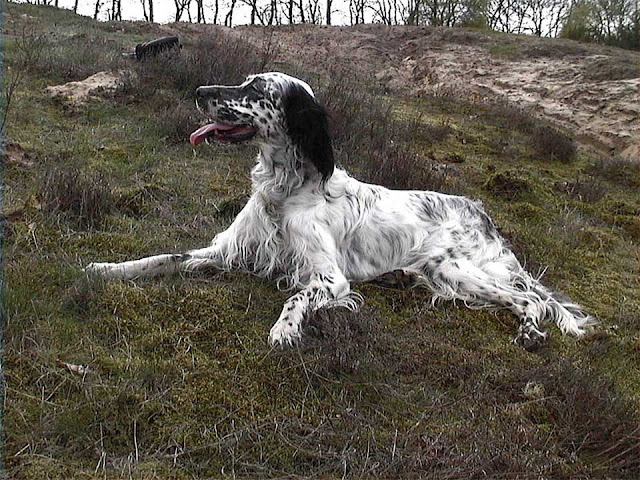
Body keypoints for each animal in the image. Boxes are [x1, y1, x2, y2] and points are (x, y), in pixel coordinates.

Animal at [86, 72, 596, 348]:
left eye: (256, 89)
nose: (198, 89)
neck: (285, 189)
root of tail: (481, 212)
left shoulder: (329, 278)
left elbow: (296, 297)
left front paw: (284, 331)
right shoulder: (230, 249)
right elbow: (162, 257)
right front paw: (105, 268)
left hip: (452, 267)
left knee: (530, 299)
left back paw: (530, 334)